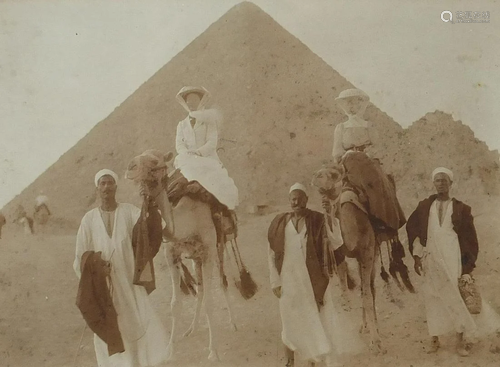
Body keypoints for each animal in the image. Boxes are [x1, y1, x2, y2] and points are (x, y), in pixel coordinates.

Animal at [125, 150, 258, 362]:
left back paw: (233, 322)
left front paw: (213, 351)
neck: (186, 220)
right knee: (201, 289)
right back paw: (191, 329)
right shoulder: (171, 254)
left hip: (219, 247)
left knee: (223, 282)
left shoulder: (208, 251)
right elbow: (175, 304)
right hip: (196, 258)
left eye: (154, 160)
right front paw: (169, 350)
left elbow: (211, 301)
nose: (131, 167)